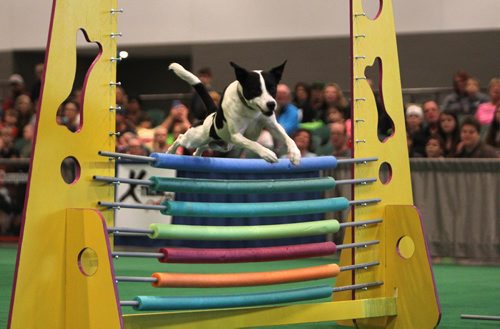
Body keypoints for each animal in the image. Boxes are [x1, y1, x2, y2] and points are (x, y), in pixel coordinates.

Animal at [167, 60, 300, 164]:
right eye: (255, 90)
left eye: (272, 88)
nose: (271, 104)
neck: (251, 110)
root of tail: (211, 114)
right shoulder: (237, 136)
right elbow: (252, 143)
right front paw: (267, 153)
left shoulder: (272, 126)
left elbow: (287, 137)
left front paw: (295, 154)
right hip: (195, 137)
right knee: (181, 138)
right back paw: (170, 152)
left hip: (222, 145)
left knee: (204, 146)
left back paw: (197, 154)